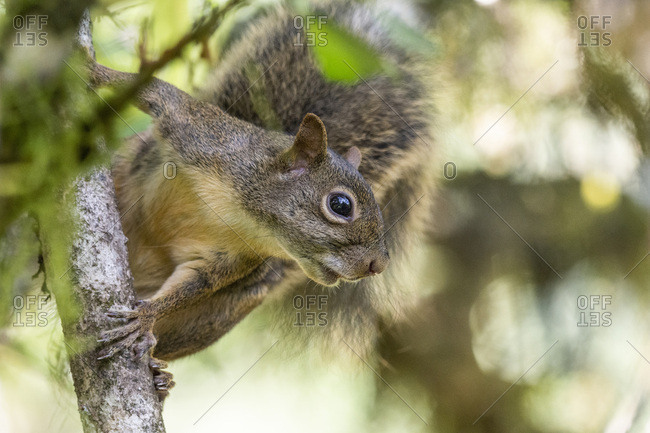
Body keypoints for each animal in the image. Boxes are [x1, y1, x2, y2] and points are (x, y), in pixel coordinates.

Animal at [94, 2, 433, 400]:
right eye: (341, 205)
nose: (378, 264)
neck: (241, 212)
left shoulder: (228, 259)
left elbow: (192, 285)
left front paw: (146, 317)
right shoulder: (199, 131)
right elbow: (156, 92)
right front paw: (88, 68)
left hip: (223, 311)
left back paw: (159, 374)